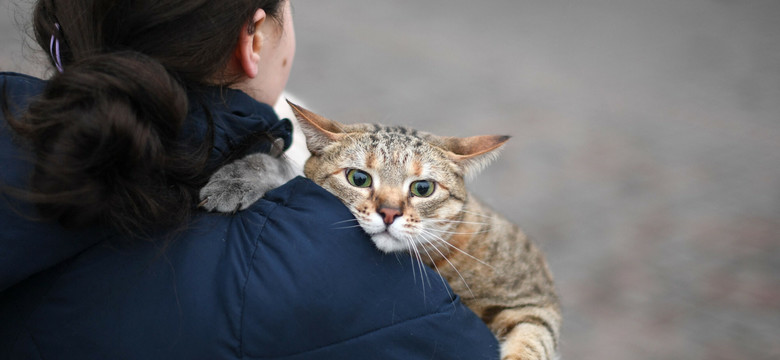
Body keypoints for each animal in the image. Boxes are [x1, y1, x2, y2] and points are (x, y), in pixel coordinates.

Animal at [200, 102, 560, 360]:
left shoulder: (535, 300)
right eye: (358, 178)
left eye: (423, 188)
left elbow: (534, 341)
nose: (389, 212)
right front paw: (236, 179)